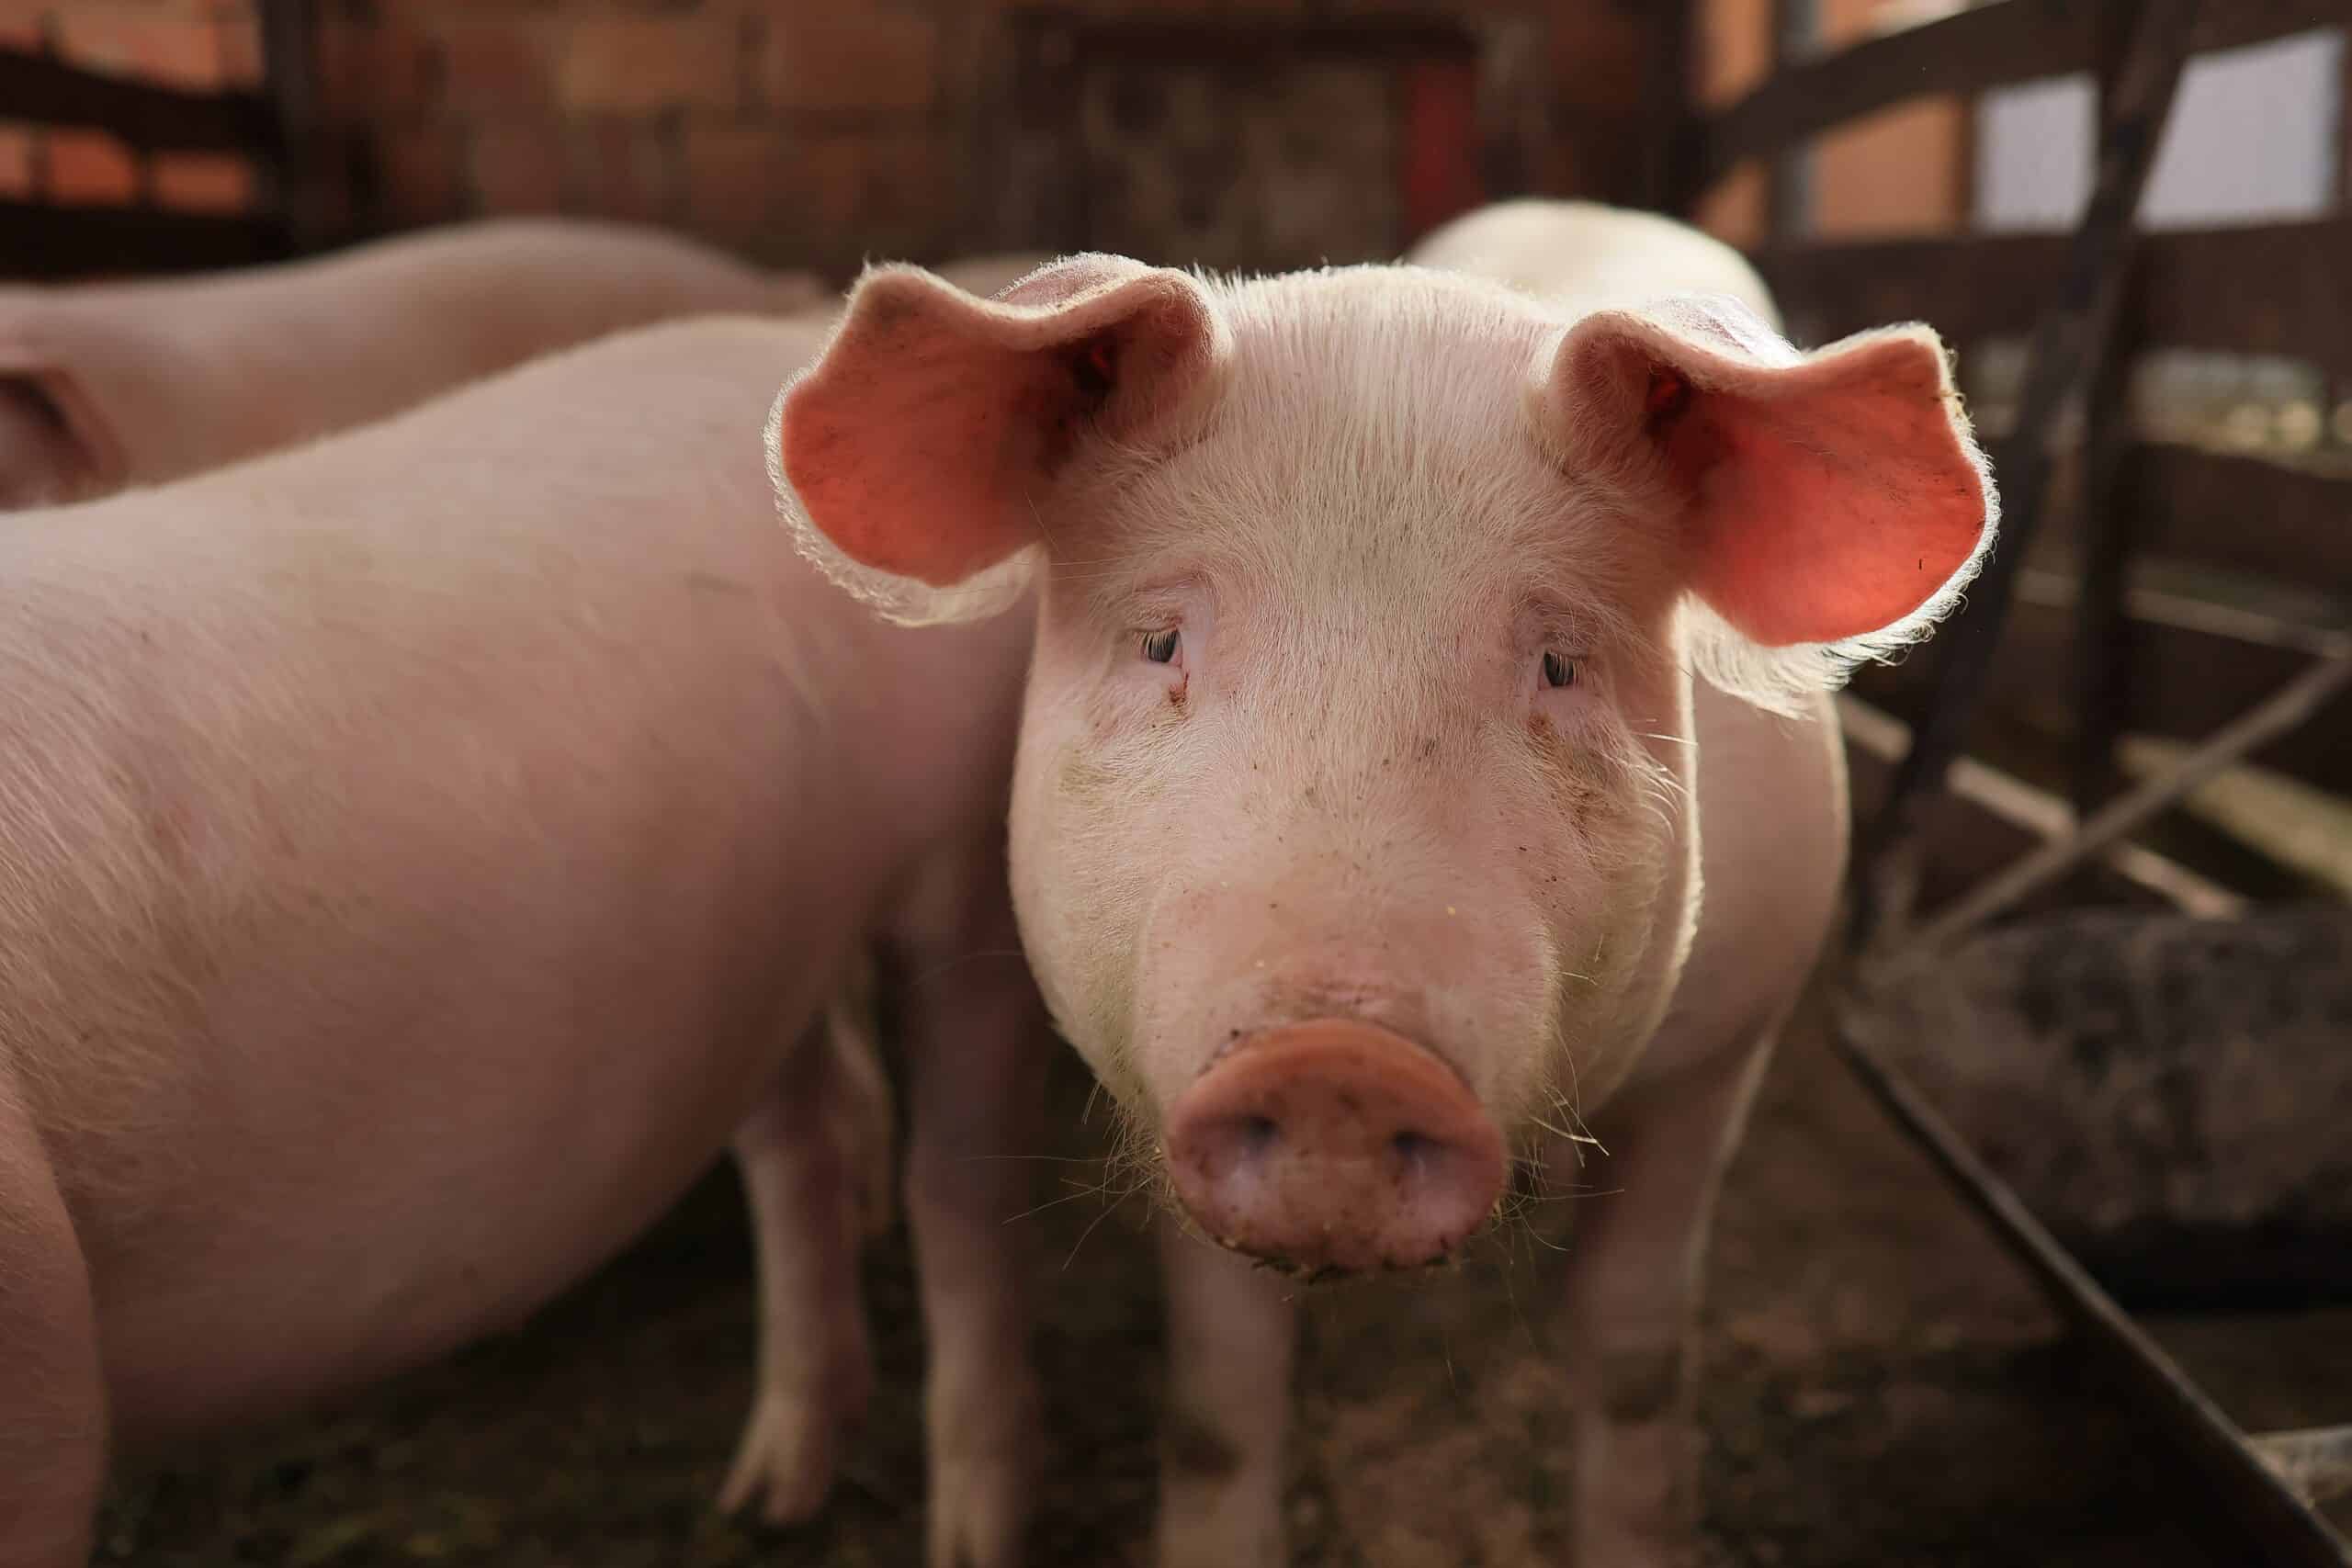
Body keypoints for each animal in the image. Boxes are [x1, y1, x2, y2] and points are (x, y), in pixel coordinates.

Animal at [0, 314, 1049, 1568]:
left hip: (965, 857)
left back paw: (971, 1539)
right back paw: (764, 1494)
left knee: (959, 1186)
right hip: (760, 933)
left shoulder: (37, 1330)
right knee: (794, 1151)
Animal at [766, 198, 1996, 1565]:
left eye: (1561, 663)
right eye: (1159, 641)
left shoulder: (1726, 1046)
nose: (1336, 1063)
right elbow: (1219, 1394)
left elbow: (1632, 1352)